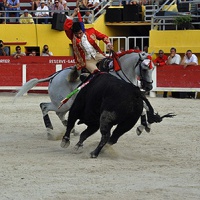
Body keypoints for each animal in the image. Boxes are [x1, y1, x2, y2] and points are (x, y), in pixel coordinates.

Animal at [14, 51, 154, 138]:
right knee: (44, 106)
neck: (120, 73)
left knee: (59, 113)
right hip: (63, 103)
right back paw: (49, 131)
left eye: (153, 68)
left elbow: (144, 107)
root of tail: (55, 76)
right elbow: (143, 108)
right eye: (145, 68)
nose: (149, 87)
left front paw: (145, 126)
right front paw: (142, 126)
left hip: (66, 103)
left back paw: (72, 130)